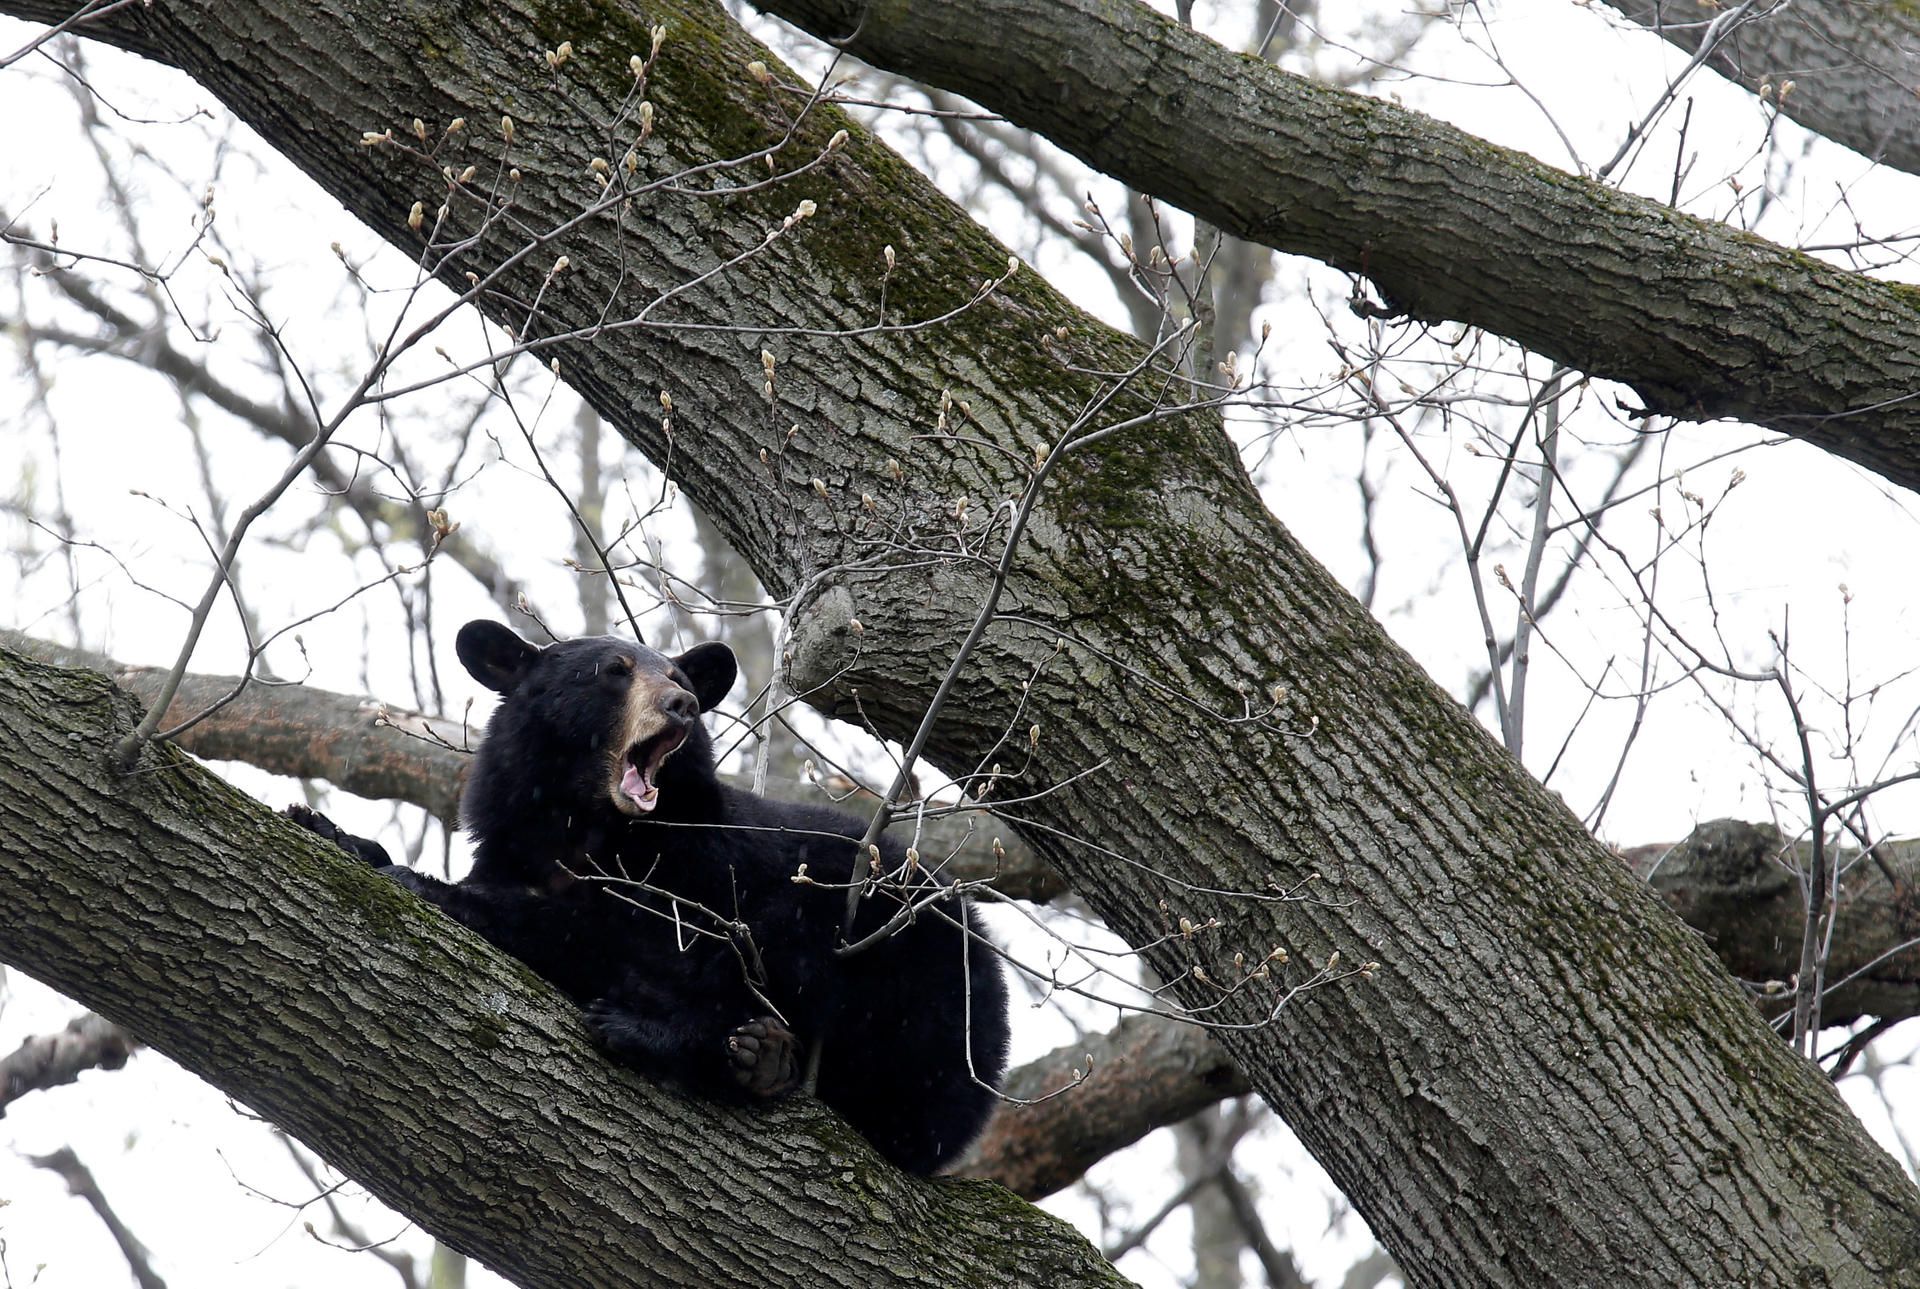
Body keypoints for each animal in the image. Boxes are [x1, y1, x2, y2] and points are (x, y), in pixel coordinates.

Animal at [290, 618, 1010, 1175]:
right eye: (615, 669)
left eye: (682, 679)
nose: (682, 705)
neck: (584, 824)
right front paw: (333, 830)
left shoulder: (701, 866)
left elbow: (628, 933)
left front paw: (430, 886)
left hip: (910, 978)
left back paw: (708, 1045)